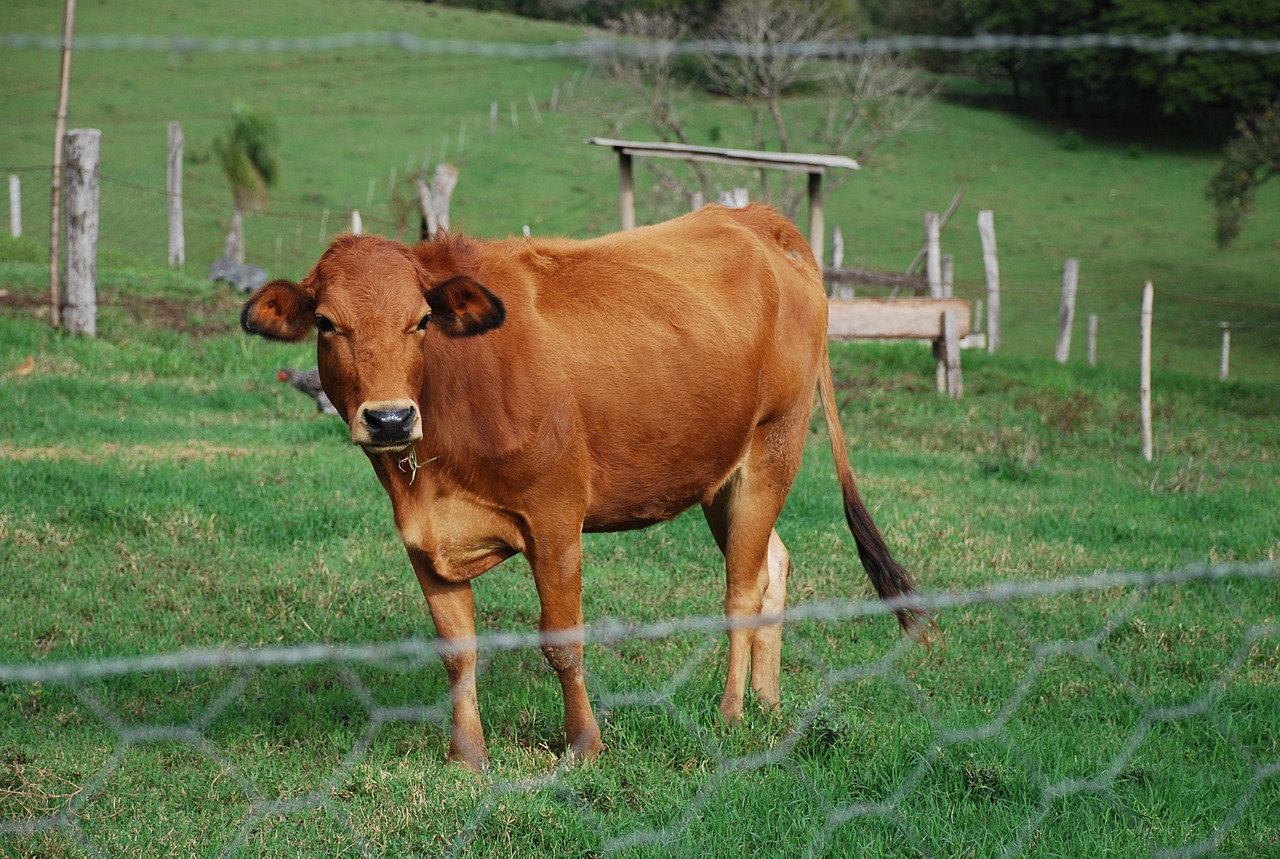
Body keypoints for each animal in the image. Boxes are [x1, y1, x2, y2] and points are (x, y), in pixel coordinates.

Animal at [240, 203, 926, 773]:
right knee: (772, 564)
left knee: (741, 590)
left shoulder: (554, 518)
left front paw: (585, 745)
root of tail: (755, 217)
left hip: (773, 447)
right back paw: (768, 701)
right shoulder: (423, 540)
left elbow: (562, 642)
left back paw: (732, 713)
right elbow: (457, 651)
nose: (389, 419)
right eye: (327, 323)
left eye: (422, 320)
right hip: (720, 477)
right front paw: (468, 757)